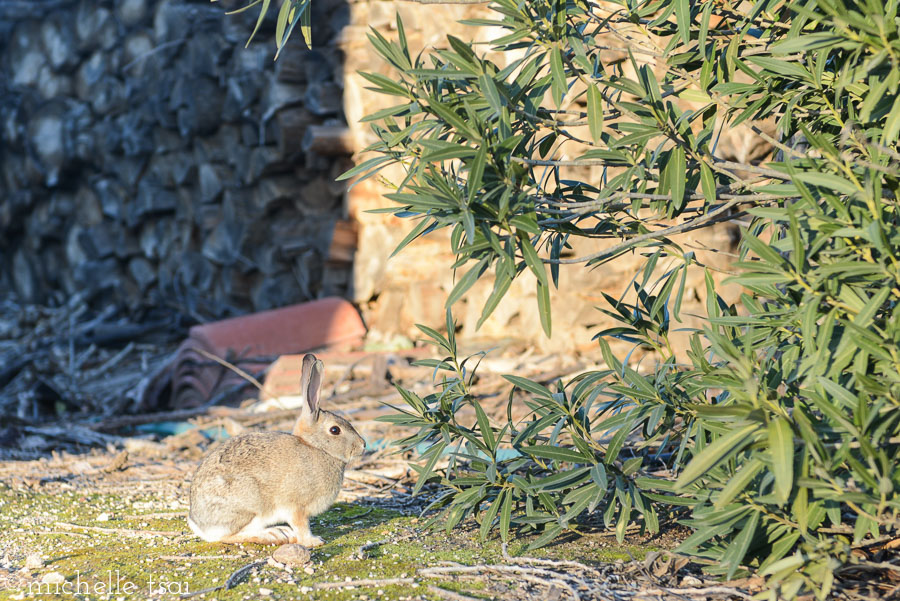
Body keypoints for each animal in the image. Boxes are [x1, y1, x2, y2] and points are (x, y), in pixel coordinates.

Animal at [186, 354, 366, 548]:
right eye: (335, 430)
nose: (363, 445)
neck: (317, 448)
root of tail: (200, 525)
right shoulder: (296, 506)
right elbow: (301, 525)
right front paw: (312, 541)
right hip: (250, 506)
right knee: (228, 536)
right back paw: (273, 534)